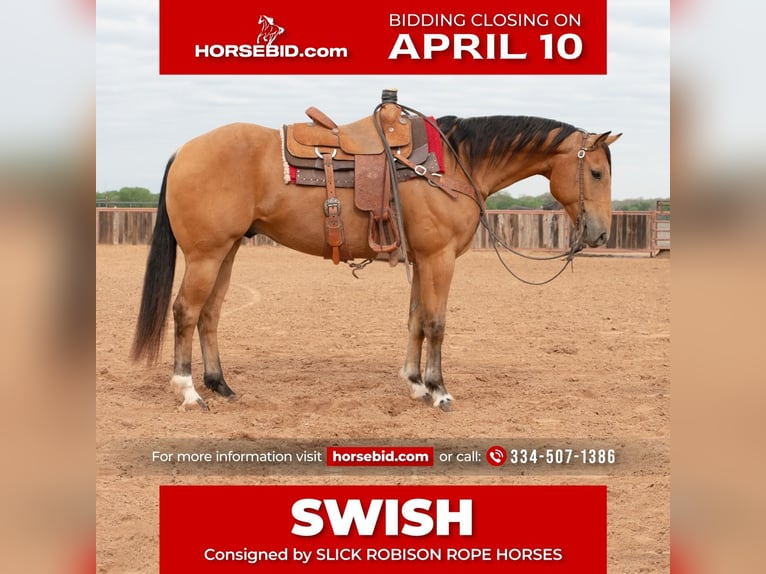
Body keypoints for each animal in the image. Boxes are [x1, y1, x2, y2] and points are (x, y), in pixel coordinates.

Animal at [131, 106, 621, 412]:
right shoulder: (440, 258)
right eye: (596, 172)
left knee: (210, 313)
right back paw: (189, 392)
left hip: (226, 251)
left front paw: (415, 383)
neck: (453, 164)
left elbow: (416, 319)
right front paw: (439, 391)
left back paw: (221, 385)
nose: (599, 233)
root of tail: (184, 151)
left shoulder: (422, 260)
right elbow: (436, 322)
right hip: (206, 254)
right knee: (186, 311)